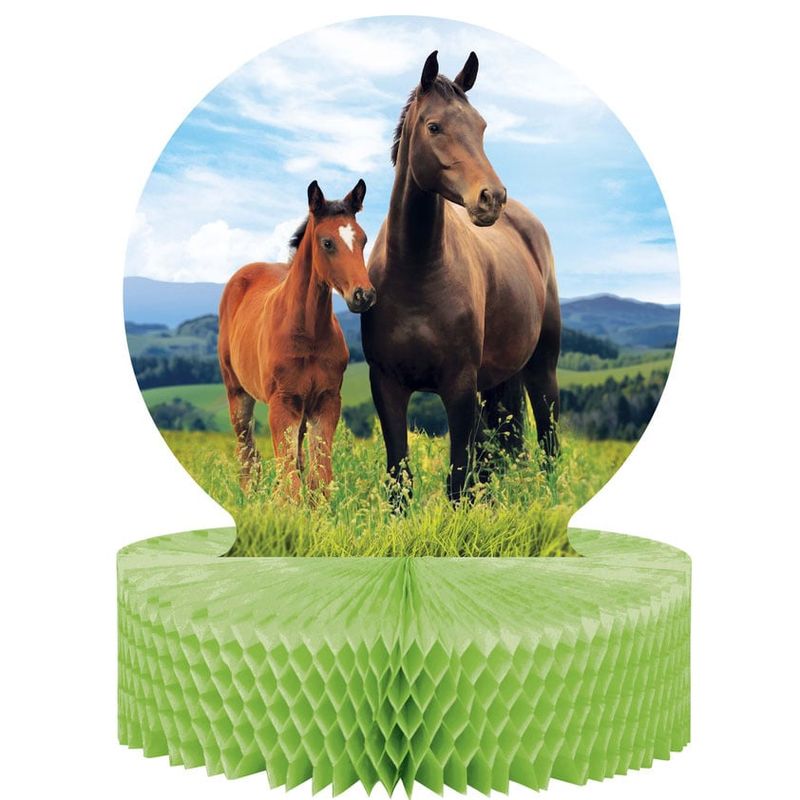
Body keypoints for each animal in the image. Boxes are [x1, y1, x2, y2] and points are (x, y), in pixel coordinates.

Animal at [218, 179, 374, 499]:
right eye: (327, 242)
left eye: (363, 240)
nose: (363, 295)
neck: (308, 333)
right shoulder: (282, 402)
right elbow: (290, 480)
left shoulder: (326, 401)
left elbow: (320, 478)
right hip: (237, 391)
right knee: (247, 453)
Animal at [361, 51, 561, 508]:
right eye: (434, 127)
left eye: (481, 126)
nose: (491, 198)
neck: (417, 272)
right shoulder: (386, 385)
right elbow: (401, 482)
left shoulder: (459, 386)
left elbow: (459, 483)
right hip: (498, 383)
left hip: (542, 369)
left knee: (548, 444)